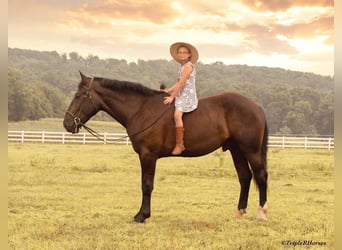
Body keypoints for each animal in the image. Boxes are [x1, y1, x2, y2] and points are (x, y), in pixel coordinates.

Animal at [62, 72, 268, 223]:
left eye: (78, 96)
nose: (67, 123)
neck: (141, 109)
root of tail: (256, 106)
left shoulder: (148, 156)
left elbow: (146, 185)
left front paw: (141, 216)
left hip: (250, 151)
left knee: (260, 176)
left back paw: (262, 213)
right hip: (236, 151)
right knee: (245, 177)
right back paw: (239, 212)